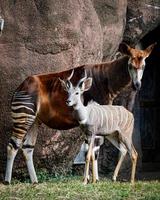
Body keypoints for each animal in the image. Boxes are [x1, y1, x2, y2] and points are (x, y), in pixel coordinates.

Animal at [4, 43, 155, 184]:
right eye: (130, 65)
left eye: (144, 66)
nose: (137, 85)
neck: (105, 80)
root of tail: (19, 88)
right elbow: (93, 150)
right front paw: (92, 179)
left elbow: (92, 149)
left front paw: (91, 178)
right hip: (25, 114)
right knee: (13, 145)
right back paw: (7, 181)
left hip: (35, 120)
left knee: (27, 148)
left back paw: (35, 181)